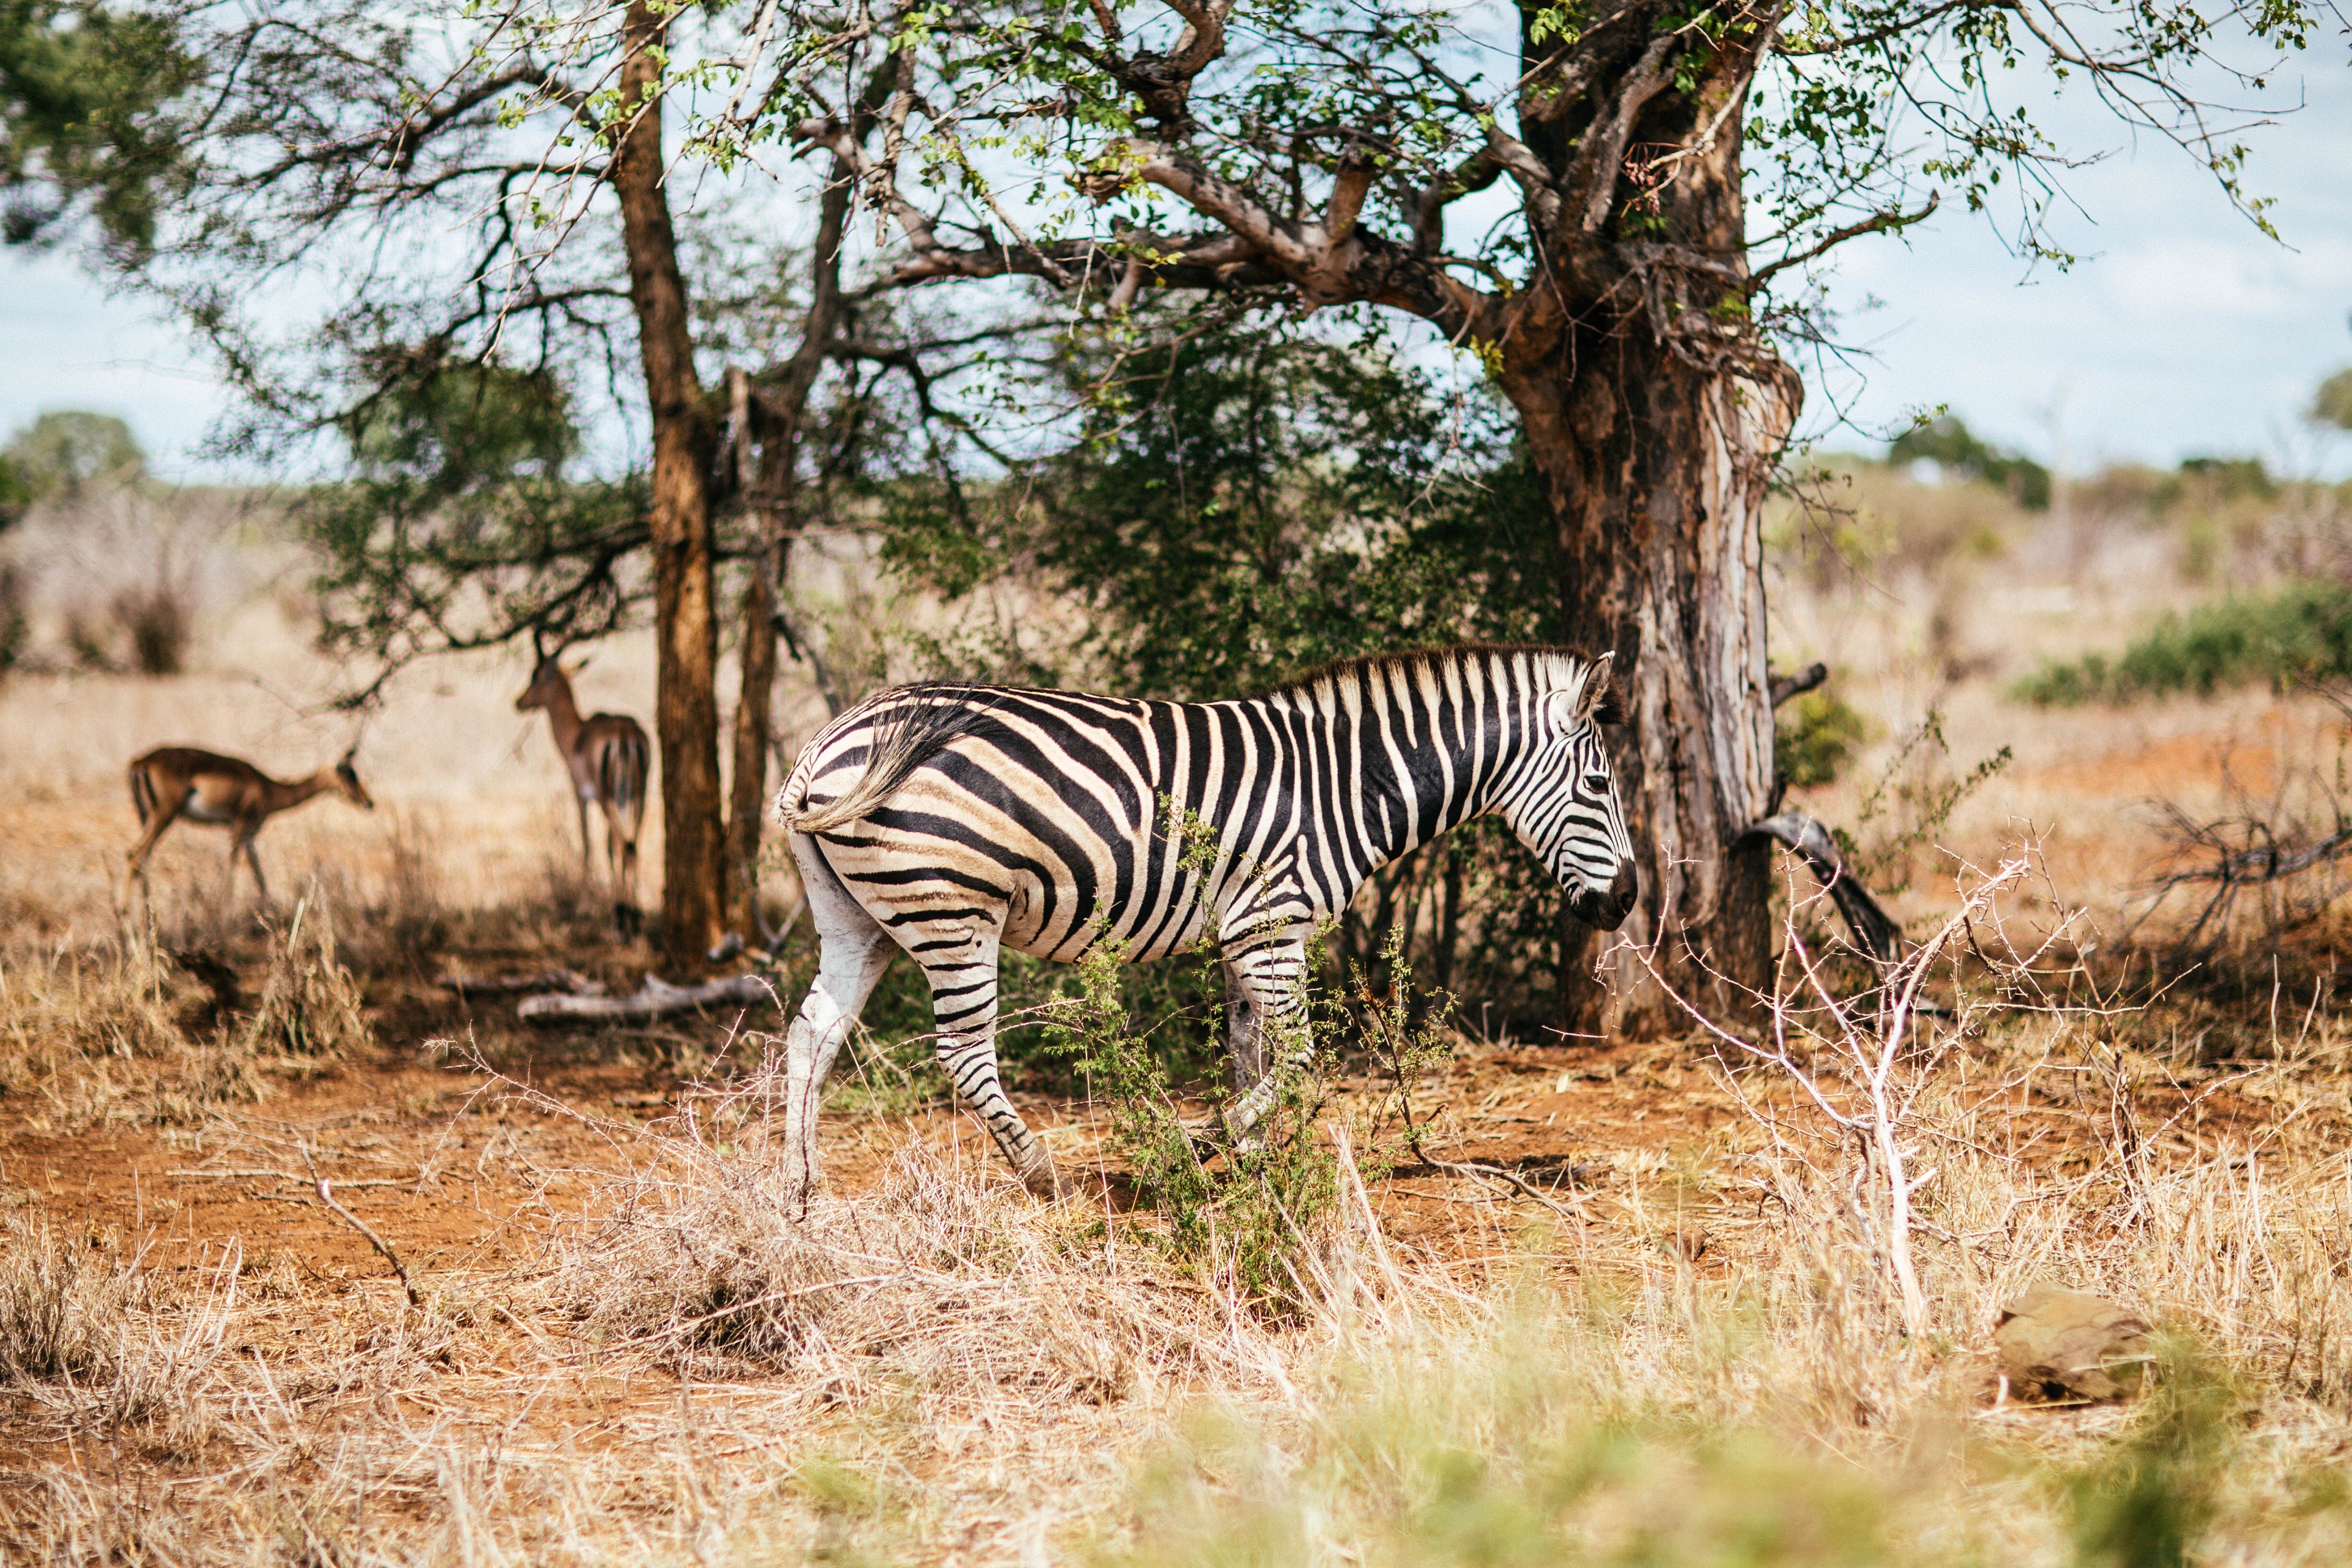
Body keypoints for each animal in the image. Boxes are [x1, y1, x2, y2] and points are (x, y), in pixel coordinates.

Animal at [771, 644, 1637, 1194]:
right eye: (1599, 785)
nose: (1626, 900)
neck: (1347, 782)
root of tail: (826, 741)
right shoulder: (1272, 924)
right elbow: (1299, 1059)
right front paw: (1202, 1143)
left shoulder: (1246, 934)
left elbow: (1250, 1052)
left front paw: (1253, 1164)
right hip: (953, 906)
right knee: (961, 1049)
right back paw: (1042, 1173)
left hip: (861, 918)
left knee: (813, 1033)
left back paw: (798, 1188)